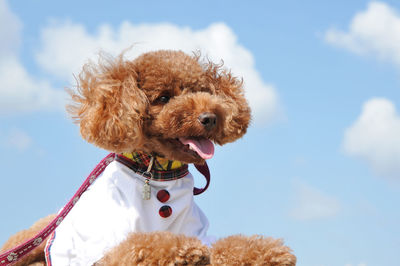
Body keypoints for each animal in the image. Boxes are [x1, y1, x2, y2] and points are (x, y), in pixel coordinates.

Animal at [0, 50, 296, 266]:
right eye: (163, 98)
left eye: (202, 90)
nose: (209, 118)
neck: (157, 173)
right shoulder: (108, 249)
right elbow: (140, 245)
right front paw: (184, 251)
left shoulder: (197, 228)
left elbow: (227, 245)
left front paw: (269, 252)